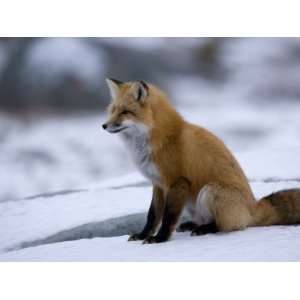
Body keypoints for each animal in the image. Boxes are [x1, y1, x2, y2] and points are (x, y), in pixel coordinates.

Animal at [102, 79, 300, 244]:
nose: (104, 125)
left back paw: (205, 229)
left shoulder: (177, 182)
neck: (161, 138)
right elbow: (153, 215)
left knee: (229, 226)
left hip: (210, 191)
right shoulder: (157, 184)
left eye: (125, 112)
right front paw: (143, 235)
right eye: (112, 110)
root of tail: (253, 208)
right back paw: (192, 225)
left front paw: (160, 239)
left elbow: (168, 216)